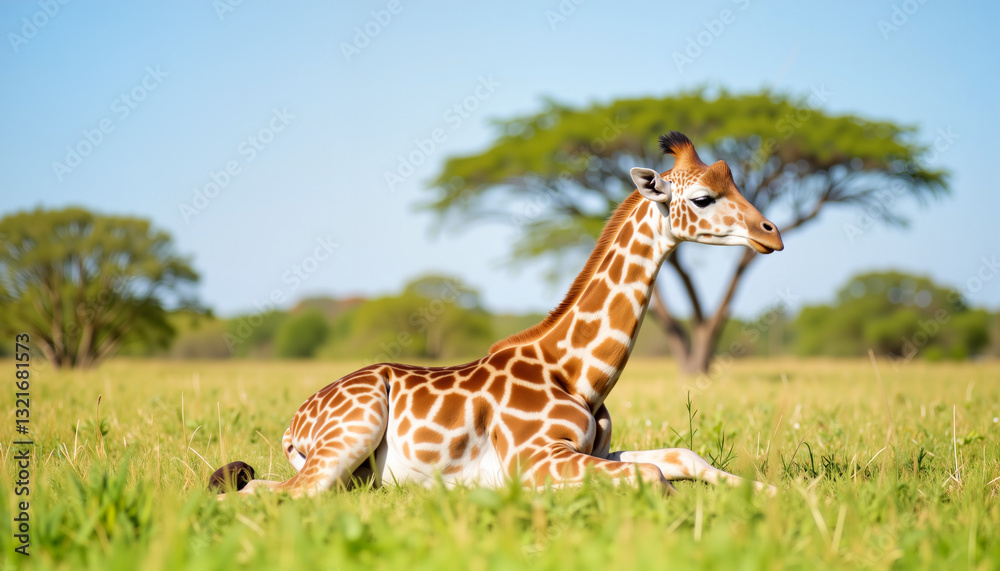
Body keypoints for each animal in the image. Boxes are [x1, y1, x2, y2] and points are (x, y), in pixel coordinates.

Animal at [210, 131, 784, 498]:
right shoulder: (532, 460)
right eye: (704, 198)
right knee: (271, 492)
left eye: (735, 183)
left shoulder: (593, 452)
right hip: (353, 432)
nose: (771, 234)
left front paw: (780, 495)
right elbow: (654, 479)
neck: (581, 375)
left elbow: (684, 458)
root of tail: (295, 421)